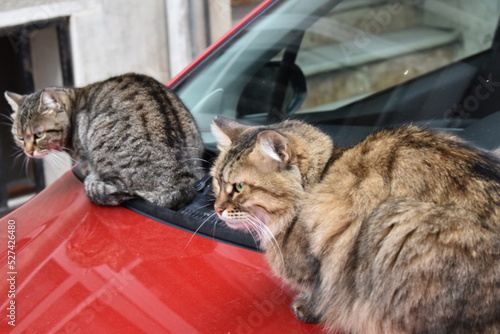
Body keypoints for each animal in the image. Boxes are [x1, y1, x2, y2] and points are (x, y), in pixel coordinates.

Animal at [210, 115, 500, 334]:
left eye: (238, 187)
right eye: (216, 181)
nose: (217, 209)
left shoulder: (323, 260)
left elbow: (321, 290)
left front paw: (307, 309)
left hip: (396, 222)